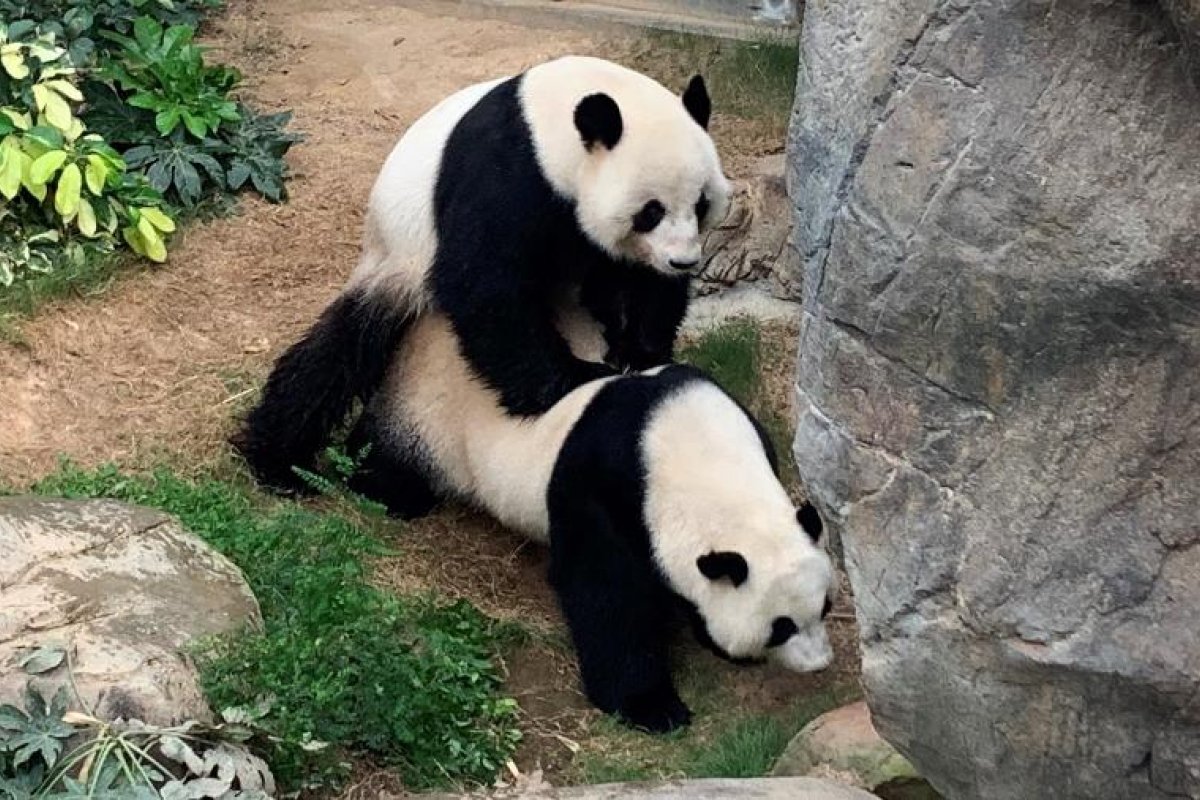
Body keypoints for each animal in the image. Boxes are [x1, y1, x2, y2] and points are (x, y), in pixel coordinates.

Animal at [234, 55, 732, 491]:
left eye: (701, 204)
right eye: (651, 211)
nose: (683, 262)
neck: (553, 125)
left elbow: (638, 282)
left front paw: (640, 351)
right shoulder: (507, 171)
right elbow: (483, 283)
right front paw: (573, 377)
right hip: (396, 259)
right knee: (336, 356)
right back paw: (279, 462)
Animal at [346, 310, 836, 733]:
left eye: (825, 607)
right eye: (781, 627)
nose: (820, 663)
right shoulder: (603, 485)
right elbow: (605, 593)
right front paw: (652, 706)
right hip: (429, 415)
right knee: (389, 458)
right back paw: (378, 488)